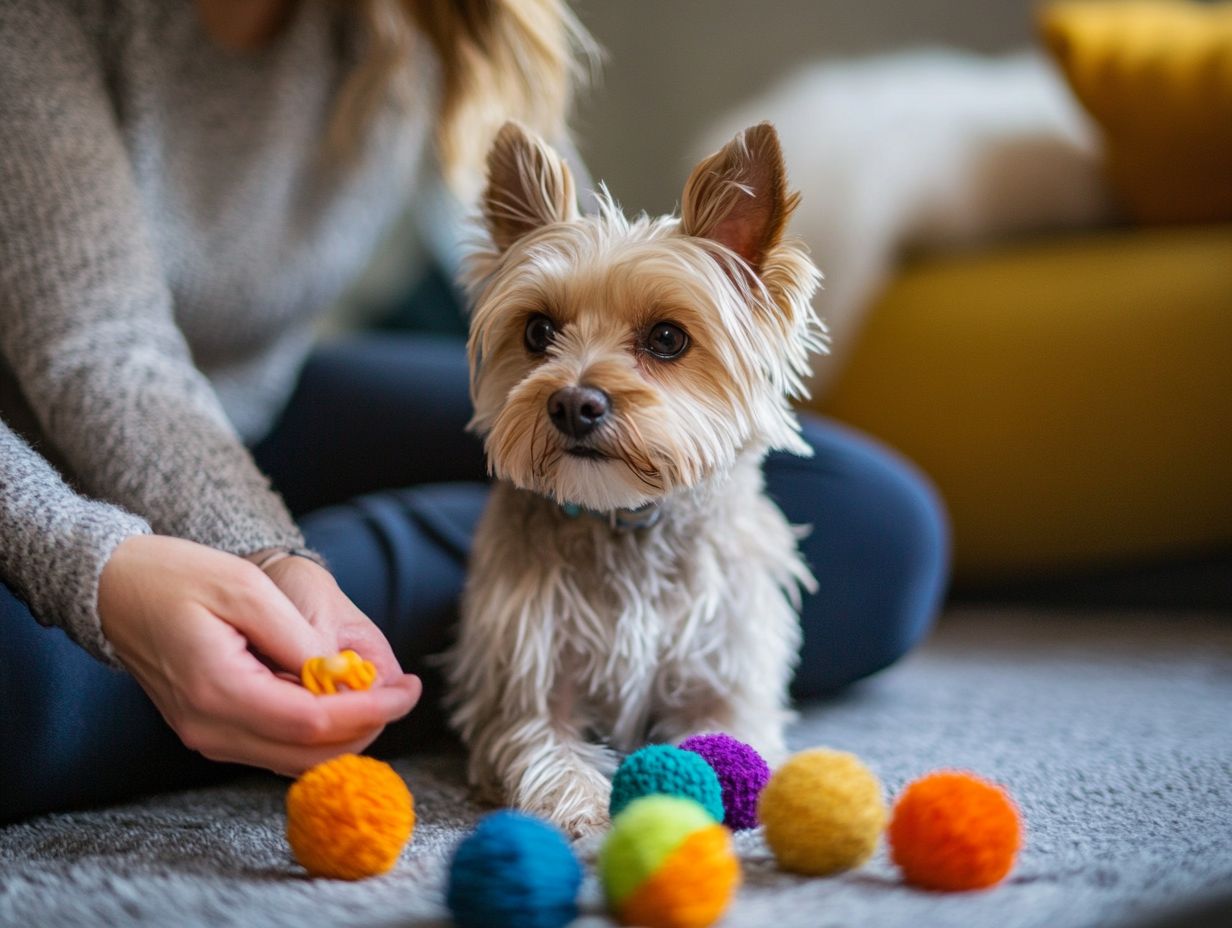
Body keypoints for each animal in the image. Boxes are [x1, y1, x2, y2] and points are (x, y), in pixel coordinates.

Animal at [448, 119, 822, 838]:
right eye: (538, 331)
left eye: (668, 339)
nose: (573, 404)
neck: (626, 516)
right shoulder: (527, 690)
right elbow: (547, 754)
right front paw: (593, 813)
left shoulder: (724, 685)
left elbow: (728, 741)